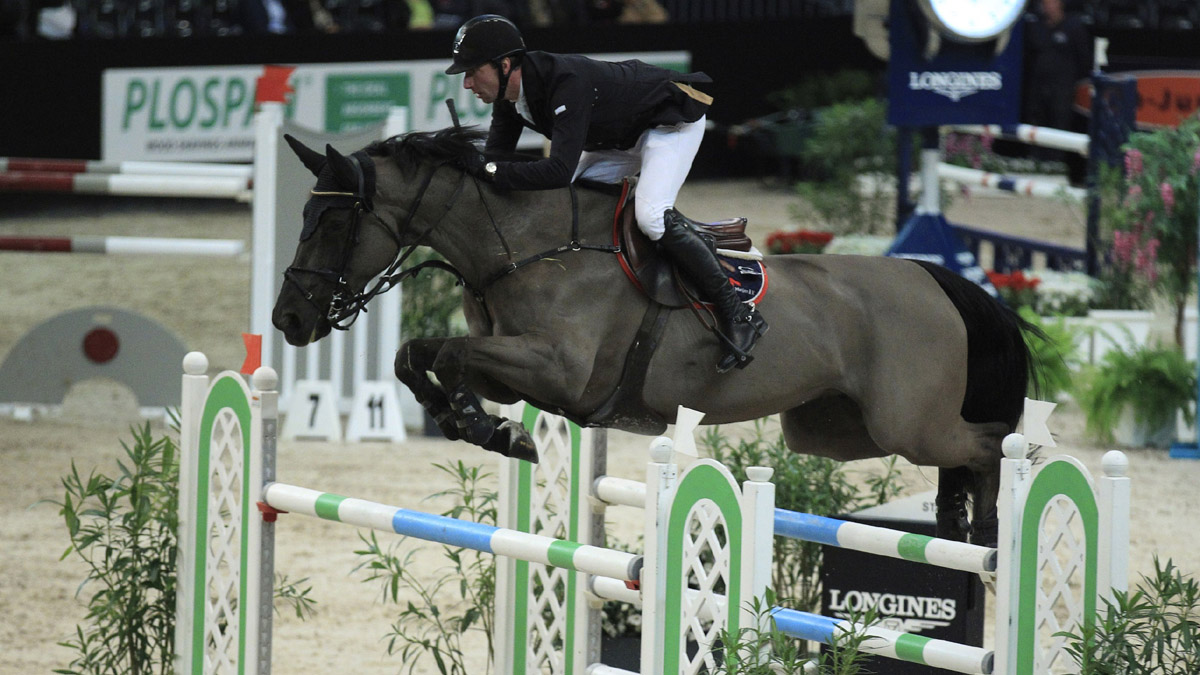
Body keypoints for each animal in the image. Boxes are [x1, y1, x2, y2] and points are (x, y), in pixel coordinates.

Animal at [274, 127, 1041, 547]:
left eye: (333, 222)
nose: (288, 320)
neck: (525, 246)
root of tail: (933, 279)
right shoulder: (515, 366)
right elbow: (420, 354)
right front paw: (481, 425)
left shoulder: (557, 369)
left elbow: (451, 355)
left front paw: (488, 428)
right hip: (834, 430)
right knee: (961, 453)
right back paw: (960, 529)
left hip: (905, 422)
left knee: (994, 443)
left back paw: (993, 536)